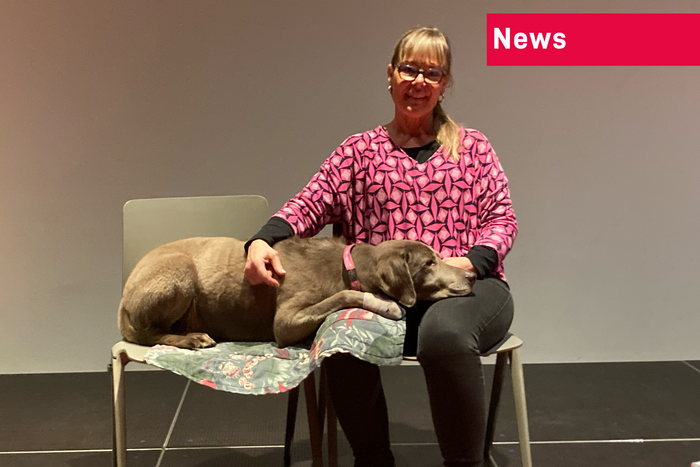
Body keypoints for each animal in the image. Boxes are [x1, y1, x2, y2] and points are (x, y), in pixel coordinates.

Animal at [119, 236, 476, 350]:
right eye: (429, 263)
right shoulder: (285, 322)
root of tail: (122, 301)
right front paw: (385, 303)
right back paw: (192, 338)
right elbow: (342, 296)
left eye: (437, 257)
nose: (472, 275)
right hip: (180, 271)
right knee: (150, 333)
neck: (349, 266)